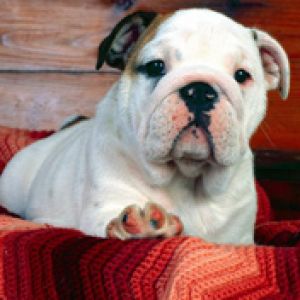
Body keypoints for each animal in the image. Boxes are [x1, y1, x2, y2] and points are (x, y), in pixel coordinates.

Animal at [0, 8, 290, 244]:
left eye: (242, 75)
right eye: (155, 67)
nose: (200, 91)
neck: (187, 179)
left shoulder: (240, 238)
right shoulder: (106, 204)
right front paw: (145, 226)